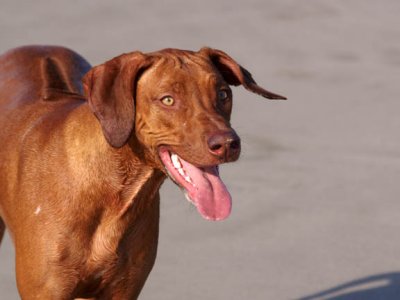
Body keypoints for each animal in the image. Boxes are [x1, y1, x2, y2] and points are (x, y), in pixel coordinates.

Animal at [0, 45, 286, 298]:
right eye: (168, 99)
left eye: (223, 94)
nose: (227, 144)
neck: (114, 189)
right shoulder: (45, 291)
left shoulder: (125, 288)